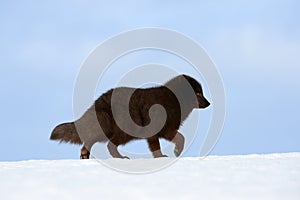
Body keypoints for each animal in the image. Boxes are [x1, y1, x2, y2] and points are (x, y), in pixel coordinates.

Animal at [50, 74, 210, 159]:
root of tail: (98, 101)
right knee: (104, 144)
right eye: (198, 93)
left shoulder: (164, 131)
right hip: (118, 131)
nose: (209, 103)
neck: (173, 100)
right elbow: (178, 139)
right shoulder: (160, 130)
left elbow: (175, 140)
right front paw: (169, 155)